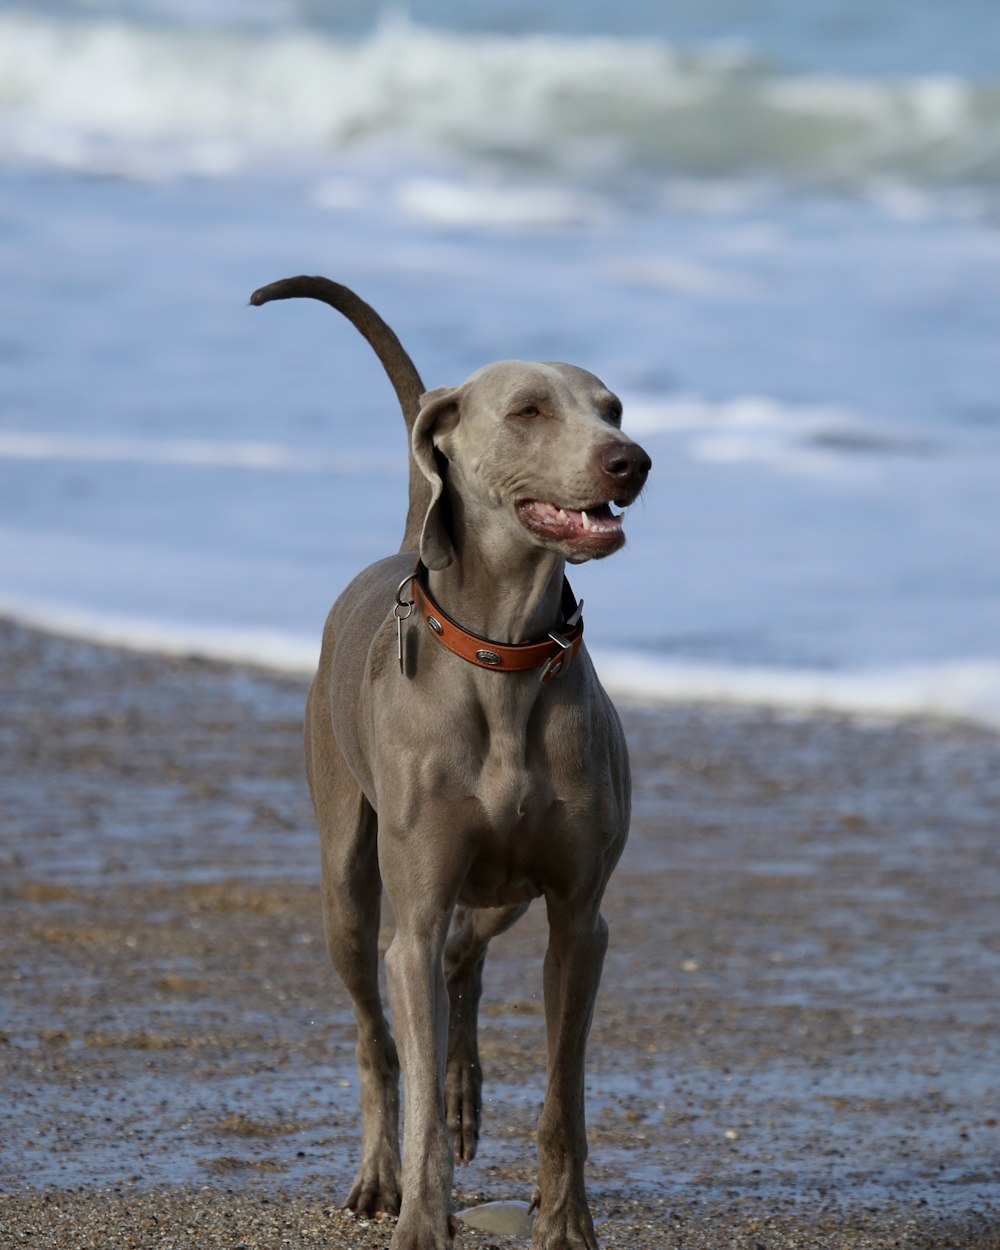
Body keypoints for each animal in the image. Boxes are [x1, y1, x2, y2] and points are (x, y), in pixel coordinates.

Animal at [253, 276, 650, 1250]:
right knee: (378, 1037)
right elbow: (419, 1079)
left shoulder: (581, 917)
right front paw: (421, 1220)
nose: (632, 461)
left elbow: (563, 1100)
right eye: (530, 410)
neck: (504, 656)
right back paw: (378, 1175)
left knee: (469, 959)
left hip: (509, 888)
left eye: (613, 408)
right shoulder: (418, 913)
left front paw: (566, 1222)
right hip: (349, 888)